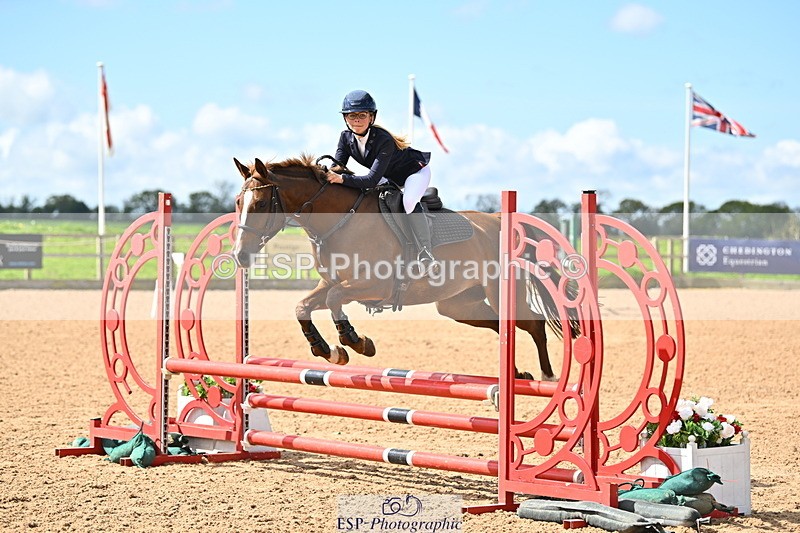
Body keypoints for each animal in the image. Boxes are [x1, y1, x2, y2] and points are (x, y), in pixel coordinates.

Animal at [231, 154, 579, 380]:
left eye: (260, 204)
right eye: (237, 203)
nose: (240, 256)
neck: (340, 220)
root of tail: (496, 220)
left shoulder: (373, 285)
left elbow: (333, 301)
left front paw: (356, 342)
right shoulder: (332, 282)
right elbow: (303, 306)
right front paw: (328, 351)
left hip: (503, 294)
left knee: (533, 324)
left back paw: (547, 377)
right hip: (458, 305)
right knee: (499, 325)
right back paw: (518, 374)